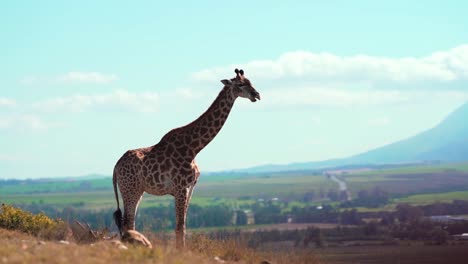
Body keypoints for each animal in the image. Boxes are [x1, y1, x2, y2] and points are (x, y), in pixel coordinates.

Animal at [112, 68, 262, 248]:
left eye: (250, 81)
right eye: (240, 84)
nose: (257, 95)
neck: (194, 148)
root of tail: (116, 166)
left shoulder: (190, 188)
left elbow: (182, 225)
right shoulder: (180, 187)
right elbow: (180, 226)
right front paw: (181, 251)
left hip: (137, 190)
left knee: (128, 222)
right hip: (130, 190)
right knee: (127, 222)